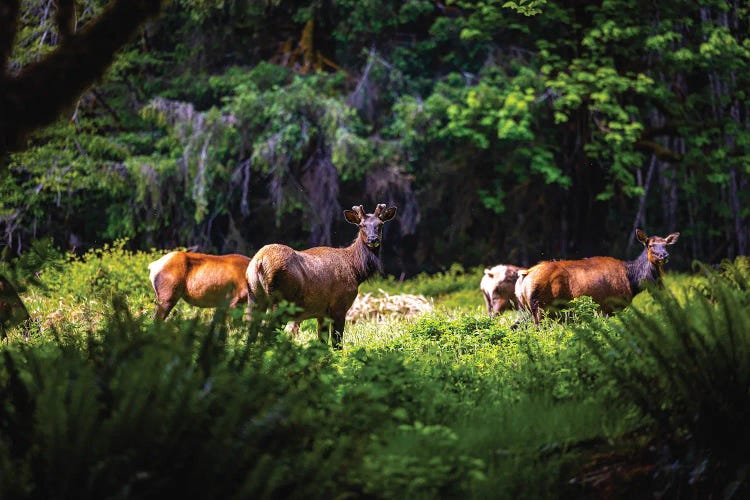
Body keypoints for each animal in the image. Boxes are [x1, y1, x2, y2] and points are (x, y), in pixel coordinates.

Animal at [247, 202, 400, 348]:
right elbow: (337, 344)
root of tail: (259, 261)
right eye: (362, 225)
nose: (373, 239)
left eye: (380, 224)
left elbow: (322, 344)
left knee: (251, 332)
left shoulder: (322, 313)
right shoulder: (339, 306)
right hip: (280, 301)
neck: (356, 271)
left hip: (254, 297)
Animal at [516, 229, 680, 324]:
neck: (633, 281)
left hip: (526, 309)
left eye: (666, 245)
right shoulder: (612, 305)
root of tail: (525, 275)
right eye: (650, 245)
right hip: (541, 309)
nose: (664, 255)